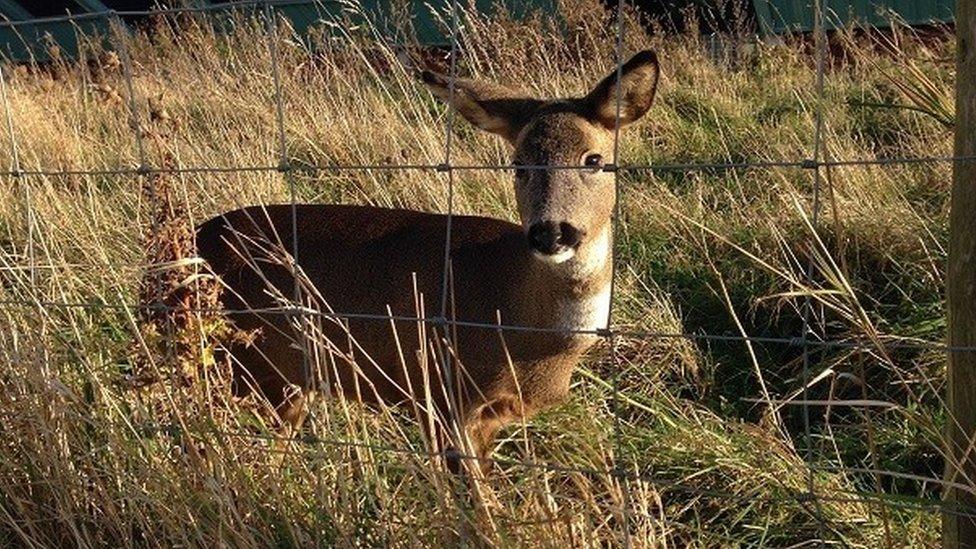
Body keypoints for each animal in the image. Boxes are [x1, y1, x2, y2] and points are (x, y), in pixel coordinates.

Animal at [195, 50, 660, 473]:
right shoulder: (442, 394)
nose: (551, 232)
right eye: (518, 164)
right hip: (241, 364)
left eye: (594, 159)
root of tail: (197, 238)